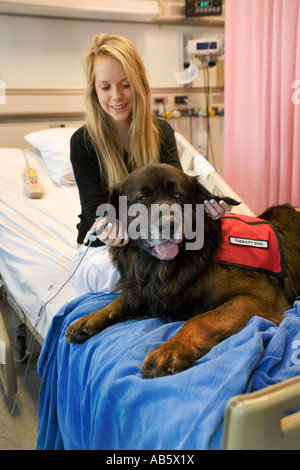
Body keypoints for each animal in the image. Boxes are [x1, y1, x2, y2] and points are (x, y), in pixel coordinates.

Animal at [66, 165, 300, 378]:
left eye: (178, 196)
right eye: (142, 198)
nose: (168, 225)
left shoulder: (258, 296)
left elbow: (200, 319)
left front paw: (171, 349)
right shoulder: (147, 291)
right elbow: (121, 300)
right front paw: (90, 318)